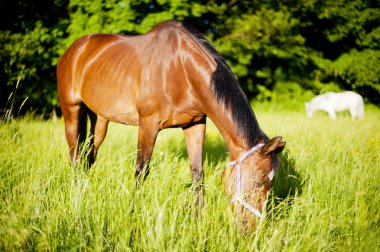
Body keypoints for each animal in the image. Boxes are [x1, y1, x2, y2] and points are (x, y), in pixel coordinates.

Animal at [57, 19, 284, 230]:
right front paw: (132, 215)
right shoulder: (148, 125)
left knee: (89, 156)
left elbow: (197, 173)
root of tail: (73, 50)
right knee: (75, 156)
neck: (181, 69)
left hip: (100, 120)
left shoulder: (195, 125)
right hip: (72, 113)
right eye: (259, 182)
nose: (250, 229)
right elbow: (141, 171)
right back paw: (76, 195)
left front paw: (198, 220)